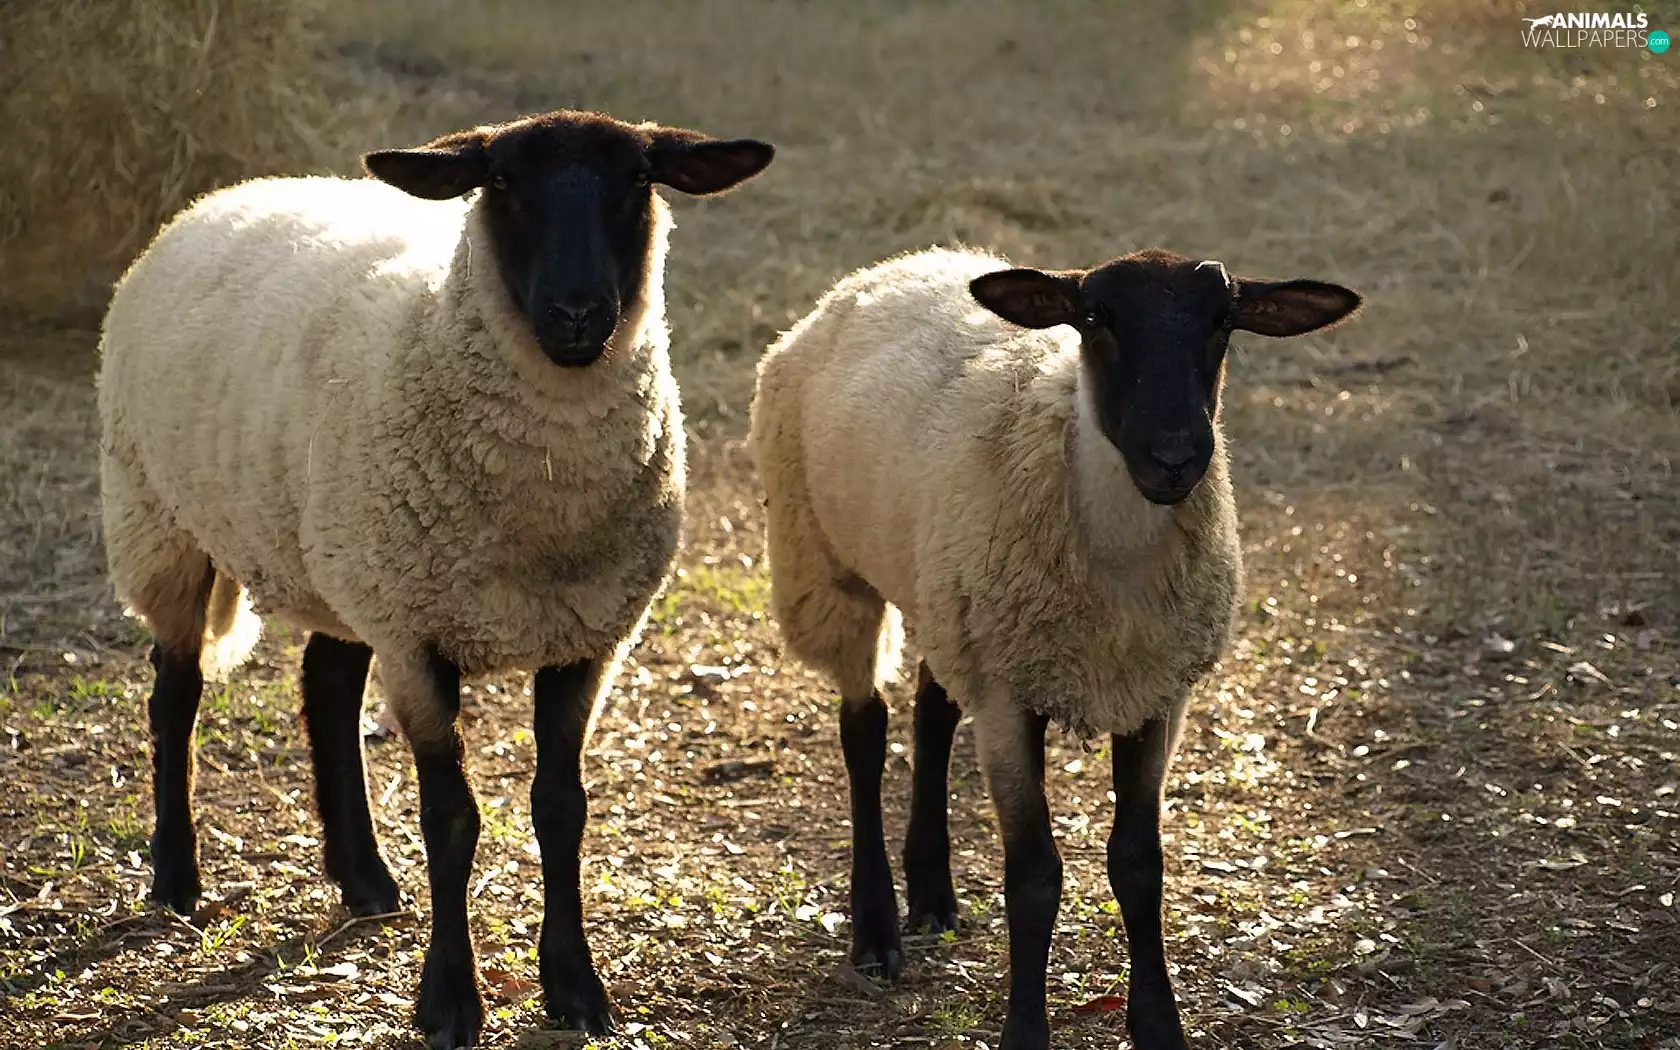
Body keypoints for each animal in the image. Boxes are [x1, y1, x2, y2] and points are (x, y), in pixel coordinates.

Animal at [98, 108, 775, 1049]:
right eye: (504, 183)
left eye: (639, 181)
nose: (577, 312)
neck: (547, 503)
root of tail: (224, 194)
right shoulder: (419, 640)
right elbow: (452, 821)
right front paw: (450, 999)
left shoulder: (587, 637)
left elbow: (561, 807)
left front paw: (575, 986)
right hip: (161, 520)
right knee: (175, 697)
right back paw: (175, 877)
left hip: (344, 561)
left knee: (325, 683)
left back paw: (364, 879)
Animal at [748, 246, 1360, 1050]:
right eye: (1095, 317)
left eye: (1224, 320)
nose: (1175, 457)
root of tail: (893, 266)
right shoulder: (1010, 701)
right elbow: (1034, 875)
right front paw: (1025, 1030)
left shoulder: (1154, 693)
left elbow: (1138, 864)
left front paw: (1158, 1024)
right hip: (825, 566)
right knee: (865, 731)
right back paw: (876, 931)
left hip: (949, 594)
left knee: (932, 712)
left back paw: (933, 893)